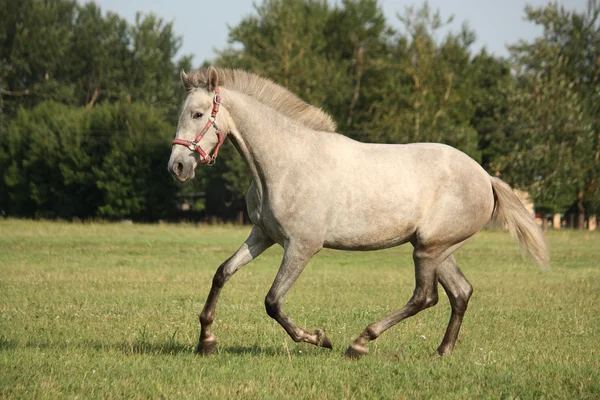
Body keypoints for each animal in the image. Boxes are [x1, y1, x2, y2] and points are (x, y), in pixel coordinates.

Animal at [165, 66, 548, 360]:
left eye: (198, 114)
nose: (178, 167)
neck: (286, 163)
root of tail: (485, 177)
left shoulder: (302, 246)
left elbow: (273, 301)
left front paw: (319, 338)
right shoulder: (263, 236)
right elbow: (222, 274)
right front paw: (206, 341)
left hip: (428, 250)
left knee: (426, 296)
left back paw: (359, 344)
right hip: (437, 249)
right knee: (460, 292)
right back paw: (442, 351)